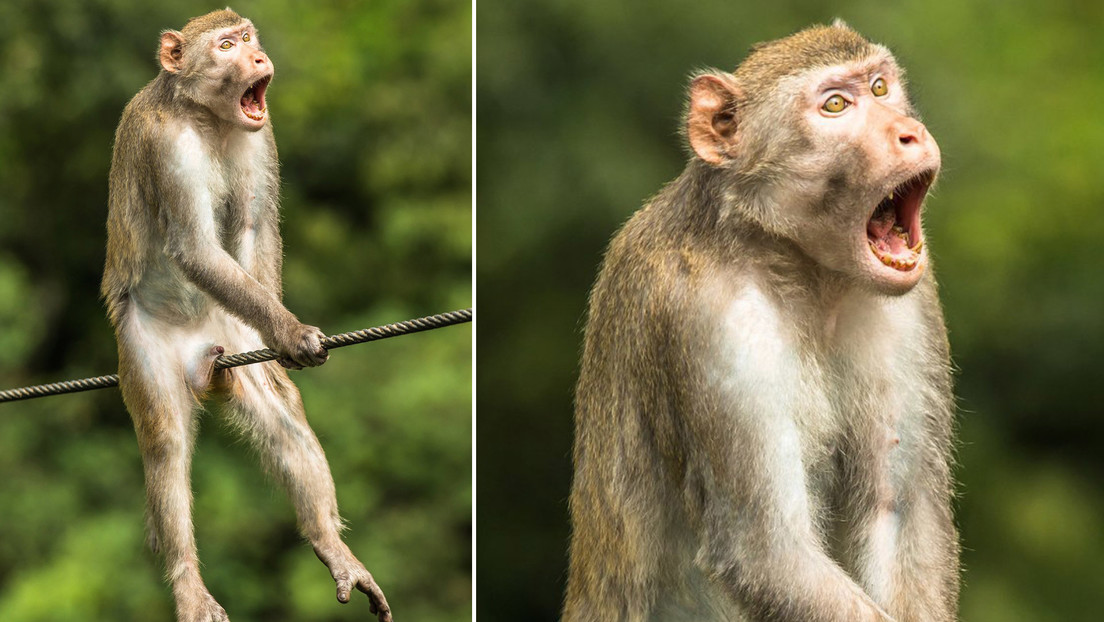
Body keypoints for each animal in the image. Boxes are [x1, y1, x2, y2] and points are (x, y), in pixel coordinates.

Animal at [100, 9, 393, 622]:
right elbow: (194, 248)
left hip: (229, 335)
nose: (257, 57)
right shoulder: (165, 144)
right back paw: (189, 585)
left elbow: (256, 228)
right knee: (164, 441)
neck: (206, 117)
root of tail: (202, 360)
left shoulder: (262, 136)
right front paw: (290, 330)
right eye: (226, 45)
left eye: (248, 38)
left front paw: (281, 336)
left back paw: (332, 548)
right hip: (143, 347)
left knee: (280, 415)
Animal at [560, 20, 958, 622]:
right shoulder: (710, 321)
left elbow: (897, 510)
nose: (909, 132)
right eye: (835, 105)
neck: (797, 267)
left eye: (880, 88)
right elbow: (767, 548)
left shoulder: (909, 305)